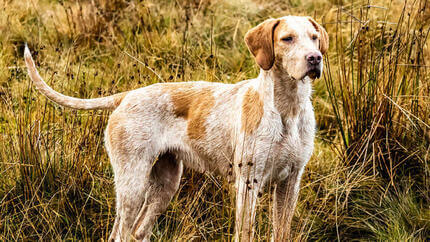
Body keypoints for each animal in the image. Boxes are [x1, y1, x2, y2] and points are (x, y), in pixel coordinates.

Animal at [25, 16, 330, 241]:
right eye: (287, 39)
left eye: (314, 37)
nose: (315, 58)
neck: (288, 109)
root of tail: (127, 96)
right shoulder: (248, 182)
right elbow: (245, 232)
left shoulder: (290, 183)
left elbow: (282, 230)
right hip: (132, 184)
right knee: (120, 234)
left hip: (166, 184)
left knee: (138, 232)